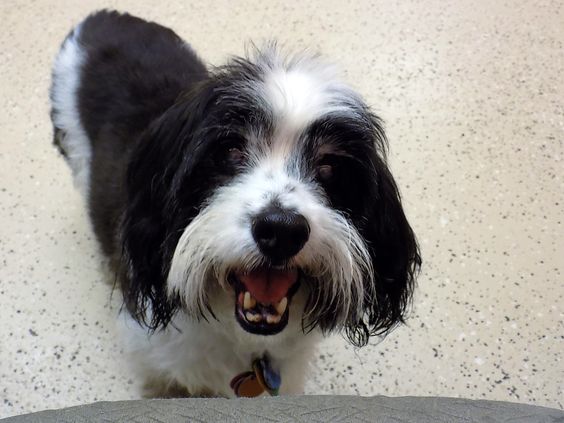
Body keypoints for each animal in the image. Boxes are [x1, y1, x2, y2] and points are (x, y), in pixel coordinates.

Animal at [49, 9, 418, 400]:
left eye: (331, 167)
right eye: (229, 150)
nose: (281, 230)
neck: (242, 338)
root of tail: (101, 16)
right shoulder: (158, 361)